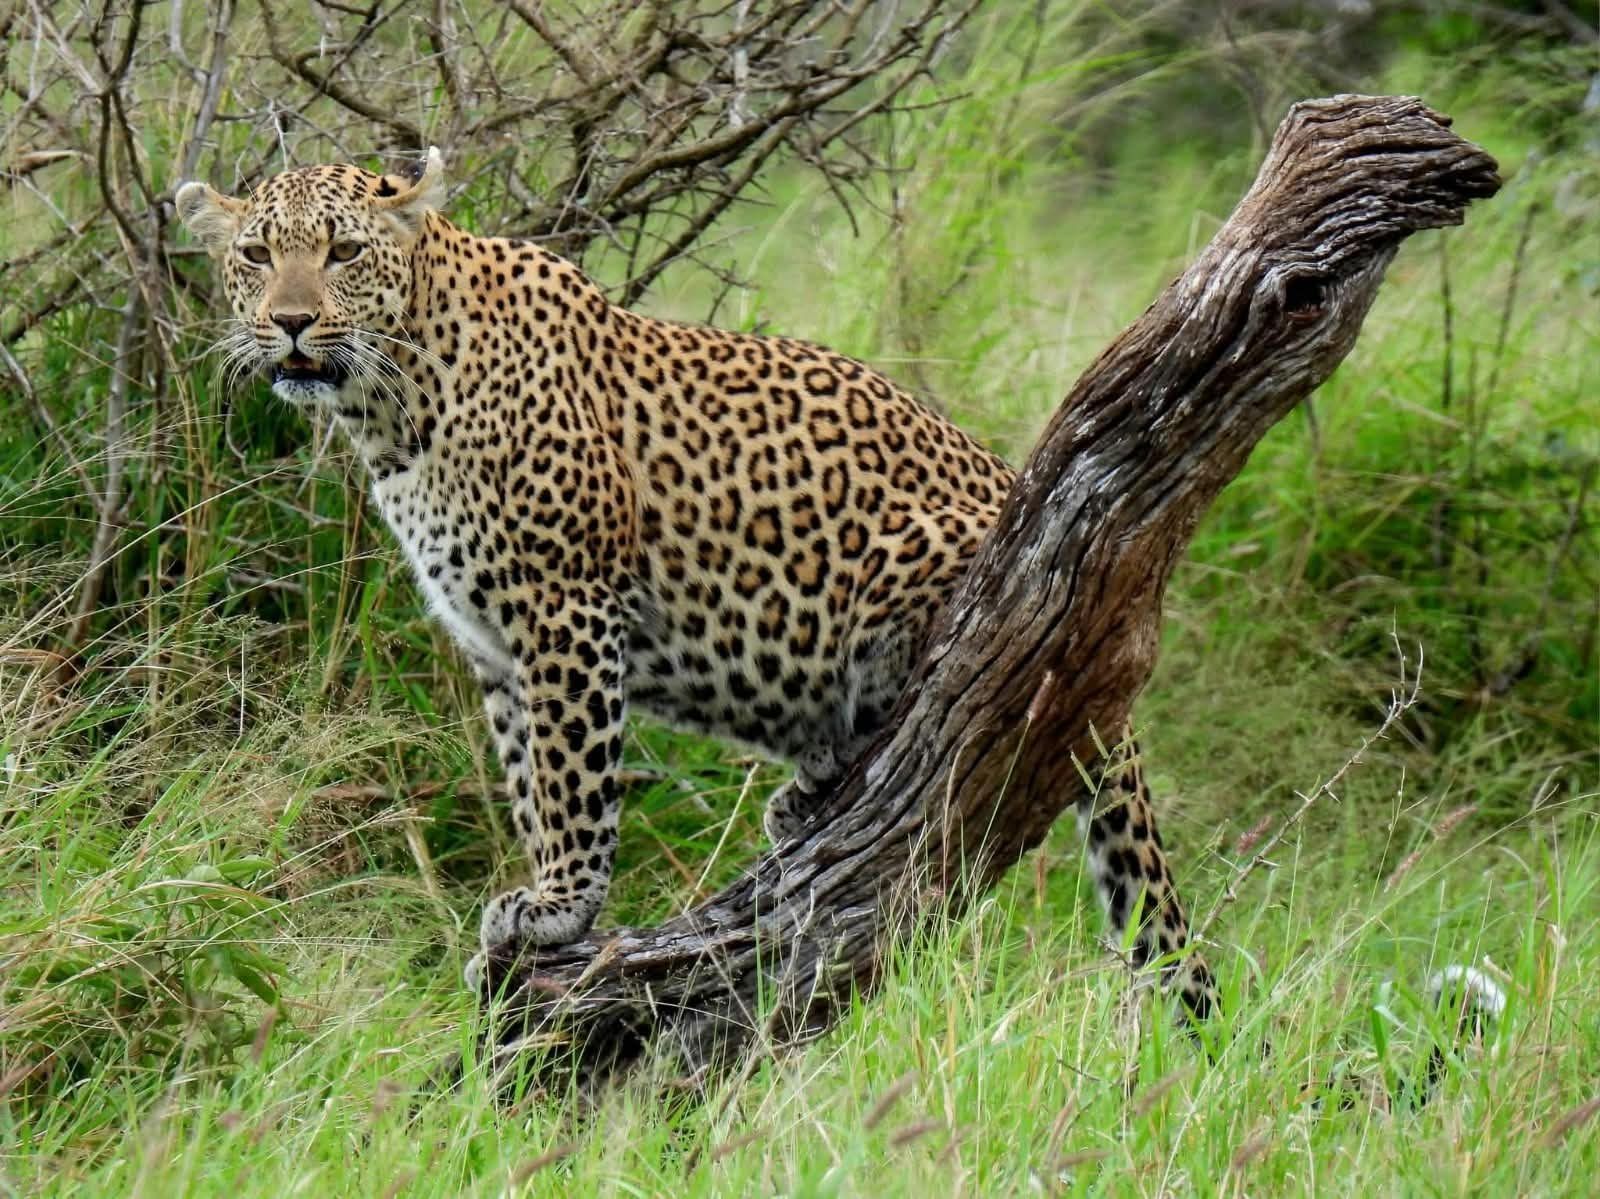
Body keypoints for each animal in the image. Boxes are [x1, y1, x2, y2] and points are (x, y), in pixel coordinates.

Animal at [176, 148, 1219, 1019]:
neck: (392, 405)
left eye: (345, 251)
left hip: (947, 567)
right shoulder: (496, 647)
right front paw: (538, 919)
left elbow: (572, 778)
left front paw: (559, 906)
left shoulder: (565, 606)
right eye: (259, 254)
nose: (292, 323)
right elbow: (528, 782)